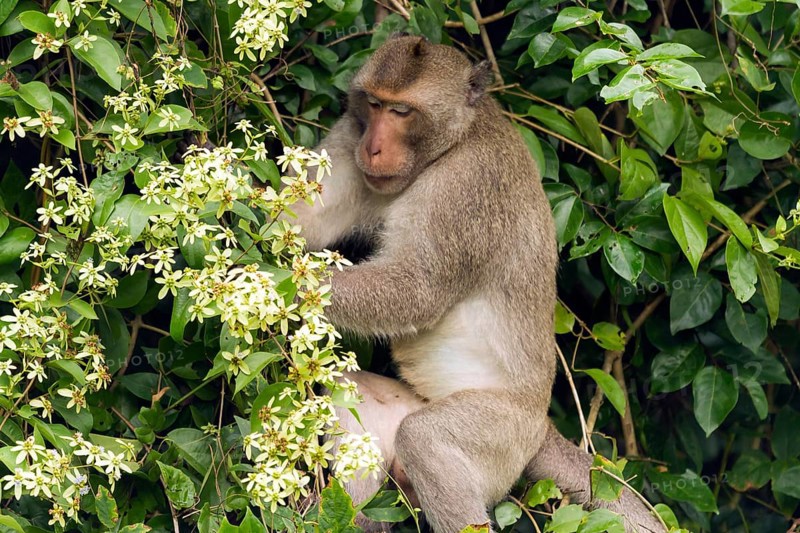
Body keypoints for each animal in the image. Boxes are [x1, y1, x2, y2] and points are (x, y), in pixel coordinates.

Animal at [289, 35, 666, 533]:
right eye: (373, 104)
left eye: (402, 112)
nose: (372, 149)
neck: (452, 144)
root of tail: (541, 427)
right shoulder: (352, 133)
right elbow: (303, 220)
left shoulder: (468, 185)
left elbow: (416, 290)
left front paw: (276, 285)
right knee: (354, 401)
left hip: (502, 437)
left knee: (425, 439)